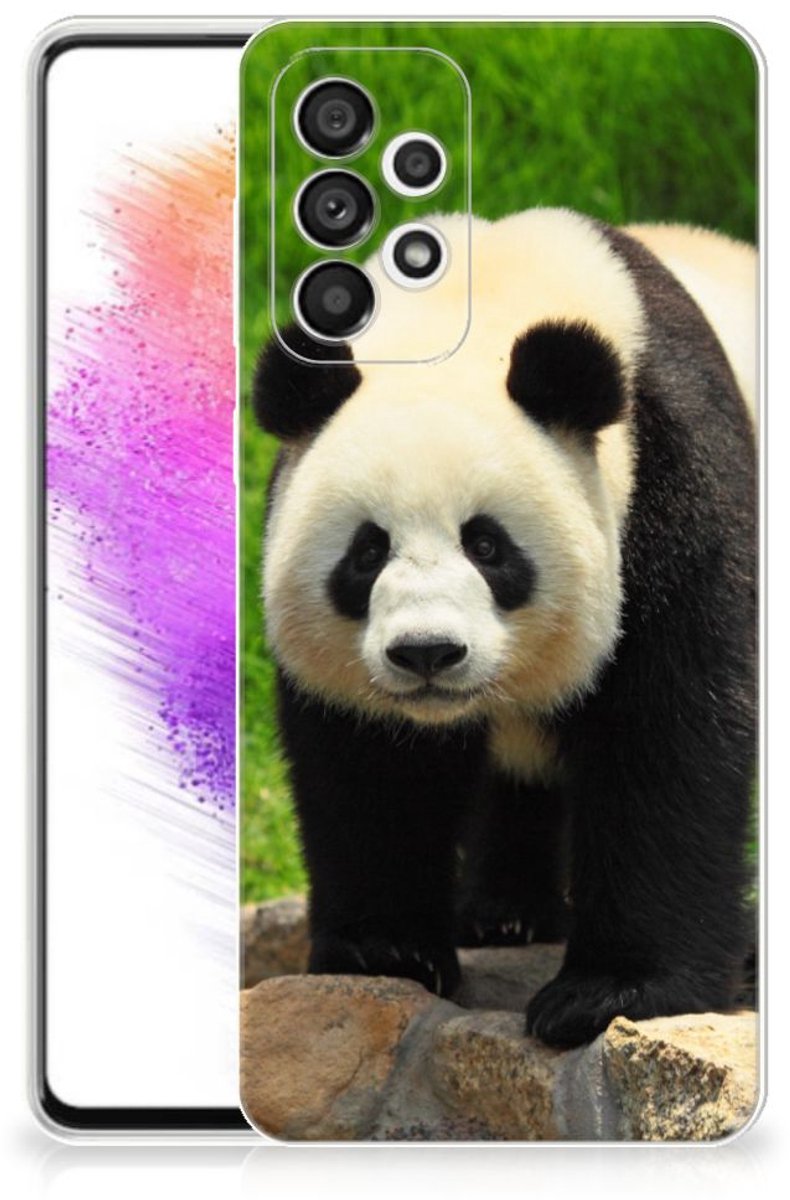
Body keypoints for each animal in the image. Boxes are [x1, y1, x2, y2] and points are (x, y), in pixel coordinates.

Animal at [251, 209, 757, 1049]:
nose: (427, 653)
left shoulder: (673, 481)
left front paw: (610, 992)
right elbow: (370, 764)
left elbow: (670, 733)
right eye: (367, 551)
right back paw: (505, 913)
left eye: (487, 546)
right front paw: (385, 950)